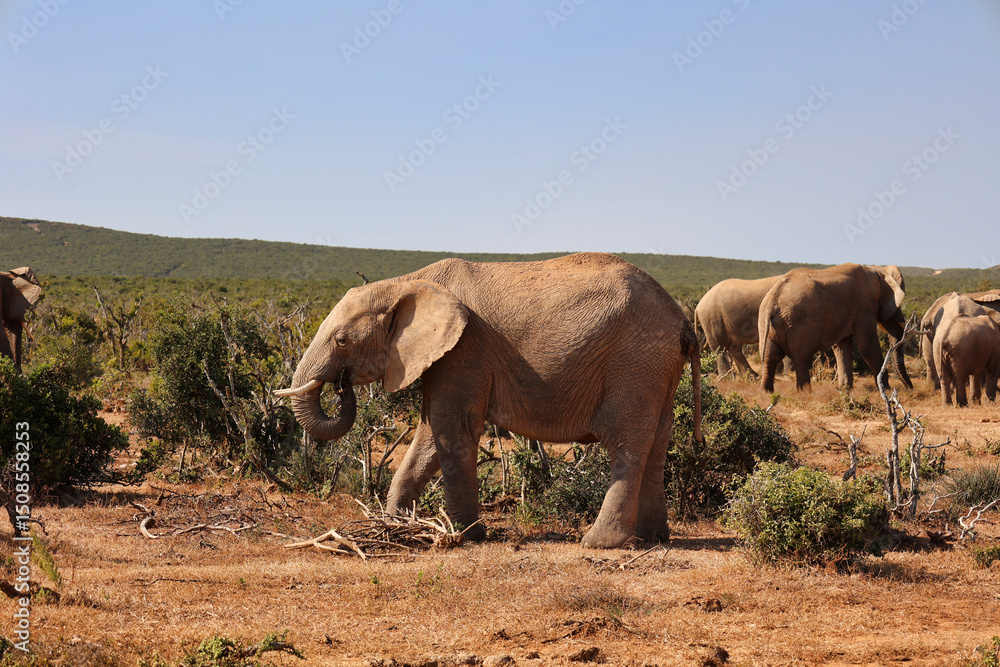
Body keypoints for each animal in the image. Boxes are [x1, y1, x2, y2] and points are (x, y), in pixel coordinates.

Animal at [275, 253, 703, 549]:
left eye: (341, 340)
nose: (341, 385)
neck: (406, 284)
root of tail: (681, 319)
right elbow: (428, 437)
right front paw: (395, 527)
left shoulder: (465, 349)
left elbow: (453, 432)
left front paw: (468, 536)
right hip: (658, 368)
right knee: (657, 445)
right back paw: (653, 539)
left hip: (634, 363)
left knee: (625, 445)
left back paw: (600, 544)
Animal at [758, 263, 912, 392]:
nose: (910, 388)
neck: (878, 270)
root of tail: (773, 297)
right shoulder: (864, 307)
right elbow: (868, 347)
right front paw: (886, 389)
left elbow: (841, 347)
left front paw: (845, 390)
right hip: (798, 323)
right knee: (801, 357)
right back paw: (805, 393)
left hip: (767, 322)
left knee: (770, 357)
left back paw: (766, 392)